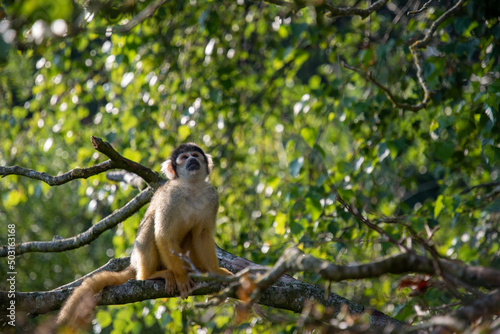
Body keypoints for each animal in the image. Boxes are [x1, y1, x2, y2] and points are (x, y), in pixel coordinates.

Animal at [57, 143, 233, 326]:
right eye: (184, 158)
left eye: (195, 155)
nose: (192, 160)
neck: (191, 187)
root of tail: (134, 263)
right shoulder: (170, 196)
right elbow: (164, 235)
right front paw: (181, 277)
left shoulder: (212, 196)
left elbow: (202, 235)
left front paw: (215, 272)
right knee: (151, 222)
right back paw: (149, 275)